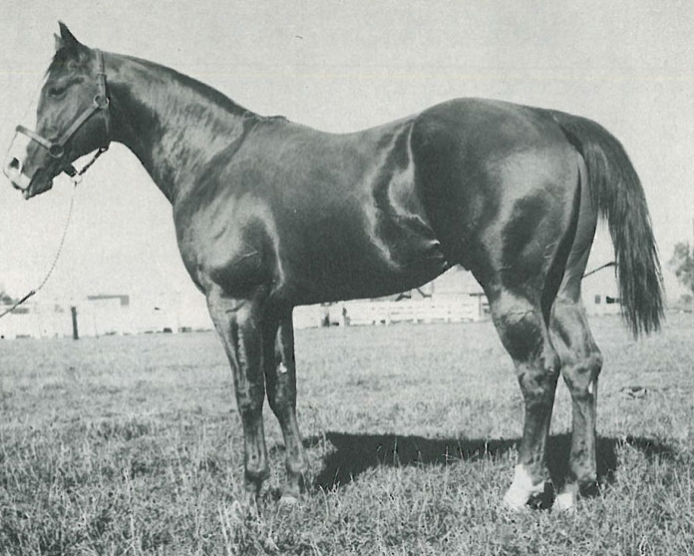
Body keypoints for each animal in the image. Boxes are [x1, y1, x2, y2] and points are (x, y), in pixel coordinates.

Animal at [4, 23, 663, 512]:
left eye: (58, 87)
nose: (17, 168)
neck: (215, 159)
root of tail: (548, 118)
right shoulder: (277, 306)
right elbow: (283, 389)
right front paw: (296, 488)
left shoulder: (233, 303)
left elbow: (247, 392)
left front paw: (252, 494)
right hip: (561, 292)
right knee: (582, 367)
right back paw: (575, 488)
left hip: (512, 293)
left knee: (539, 373)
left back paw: (521, 490)